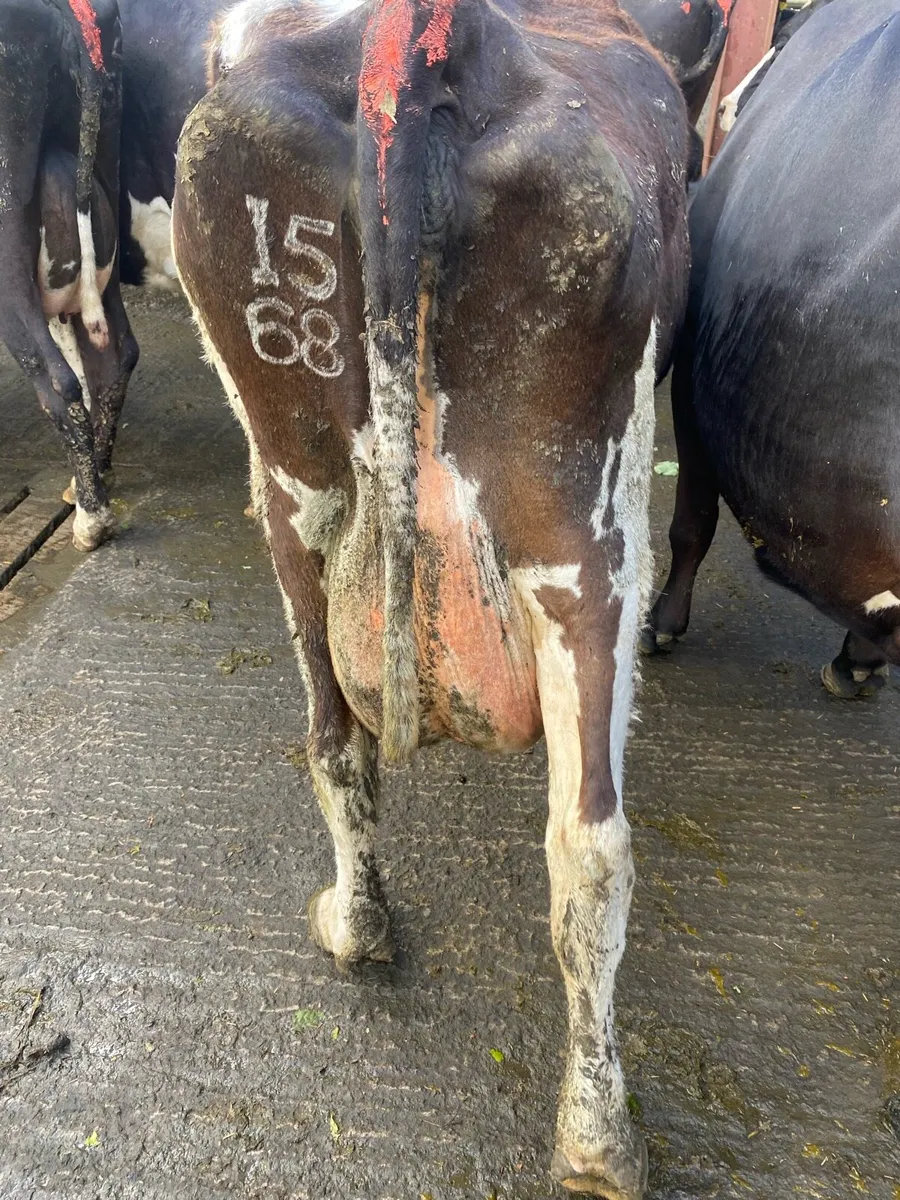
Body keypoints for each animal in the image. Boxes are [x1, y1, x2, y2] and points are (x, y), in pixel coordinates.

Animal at [172, 0, 690, 1193]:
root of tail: (419, 47)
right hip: (584, 538)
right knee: (590, 845)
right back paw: (600, 1139)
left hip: (292, 487)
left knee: (335, 739)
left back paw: (357, 929)